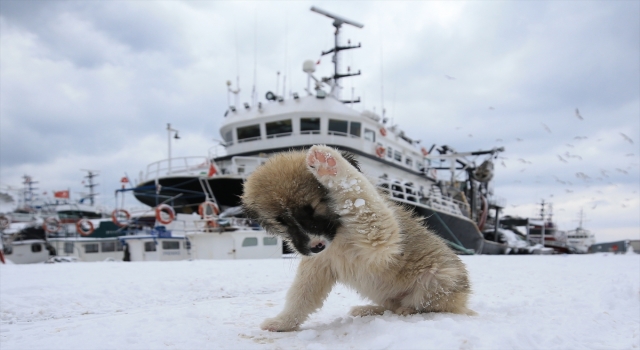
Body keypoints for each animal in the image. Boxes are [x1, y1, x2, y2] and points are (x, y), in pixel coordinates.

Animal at [242, 146, 472, 332]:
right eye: (282, 221)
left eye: (312, 209)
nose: (316, 246)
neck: (338, 234)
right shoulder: (317, 267)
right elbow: (300, 298)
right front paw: (283, 322)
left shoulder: (379, 239)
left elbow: (360, 196)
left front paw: (329, 165)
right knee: (391, 306)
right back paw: (370, 310)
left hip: (437, 279)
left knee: (426, 307)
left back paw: (406, 311)